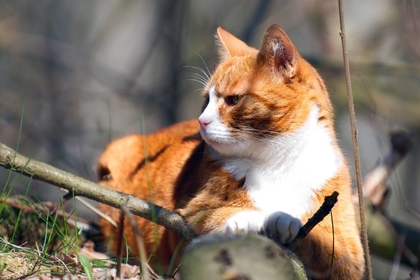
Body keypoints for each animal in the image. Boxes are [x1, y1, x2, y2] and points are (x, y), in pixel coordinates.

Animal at [97, 25, 364, 278]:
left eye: (234, 100)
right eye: (206, 100)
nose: (201, 121)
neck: (276, 160)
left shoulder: (349, 251)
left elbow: (325, 242)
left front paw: (286, 220)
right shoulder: (191, 214)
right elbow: (226, 215)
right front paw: (263, 219)